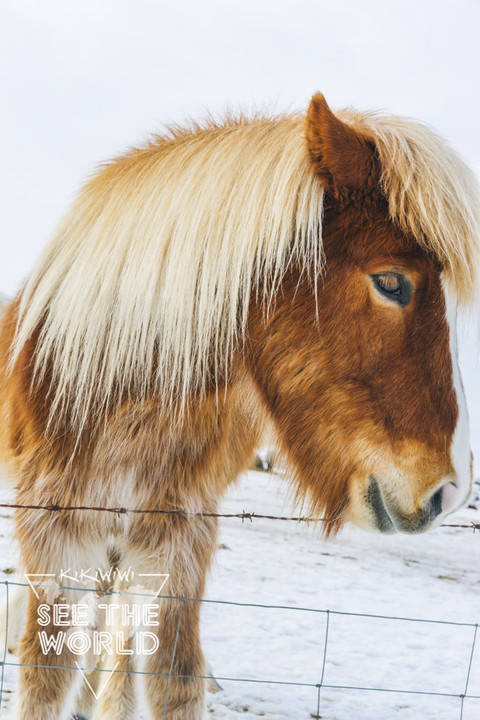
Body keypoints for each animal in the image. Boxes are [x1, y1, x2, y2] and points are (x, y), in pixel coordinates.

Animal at [0, 95, 478, 720]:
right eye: (392, 282)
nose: (449, 493)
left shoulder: (180, 546)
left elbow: (172, 678)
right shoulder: (55, 534)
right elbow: (45, 675)